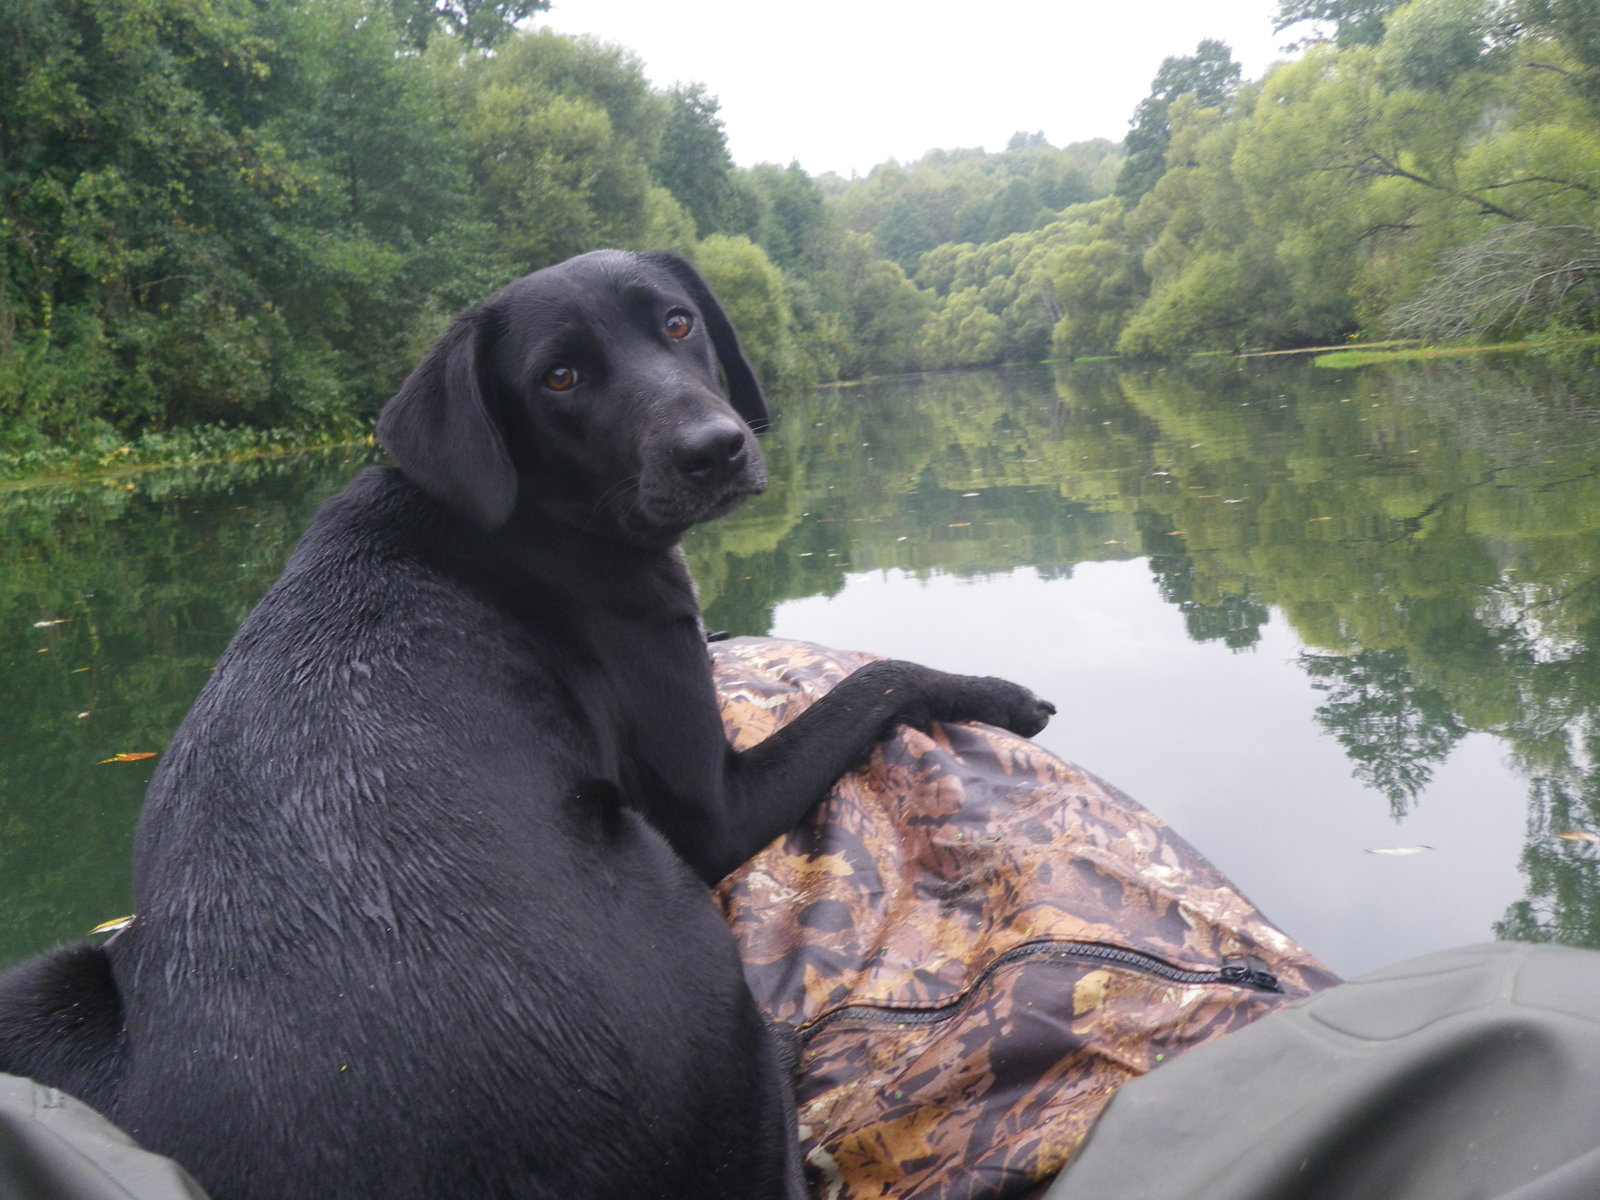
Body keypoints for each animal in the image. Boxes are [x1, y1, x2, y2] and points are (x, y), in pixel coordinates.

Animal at [0, 249, 1056, 1196]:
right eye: (560, 377)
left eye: (678, 323)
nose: (715, 447)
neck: (536, 520)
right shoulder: (713, 802)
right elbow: (876, 680)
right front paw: (996, 690)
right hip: (671, 899)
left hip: (47, 987)